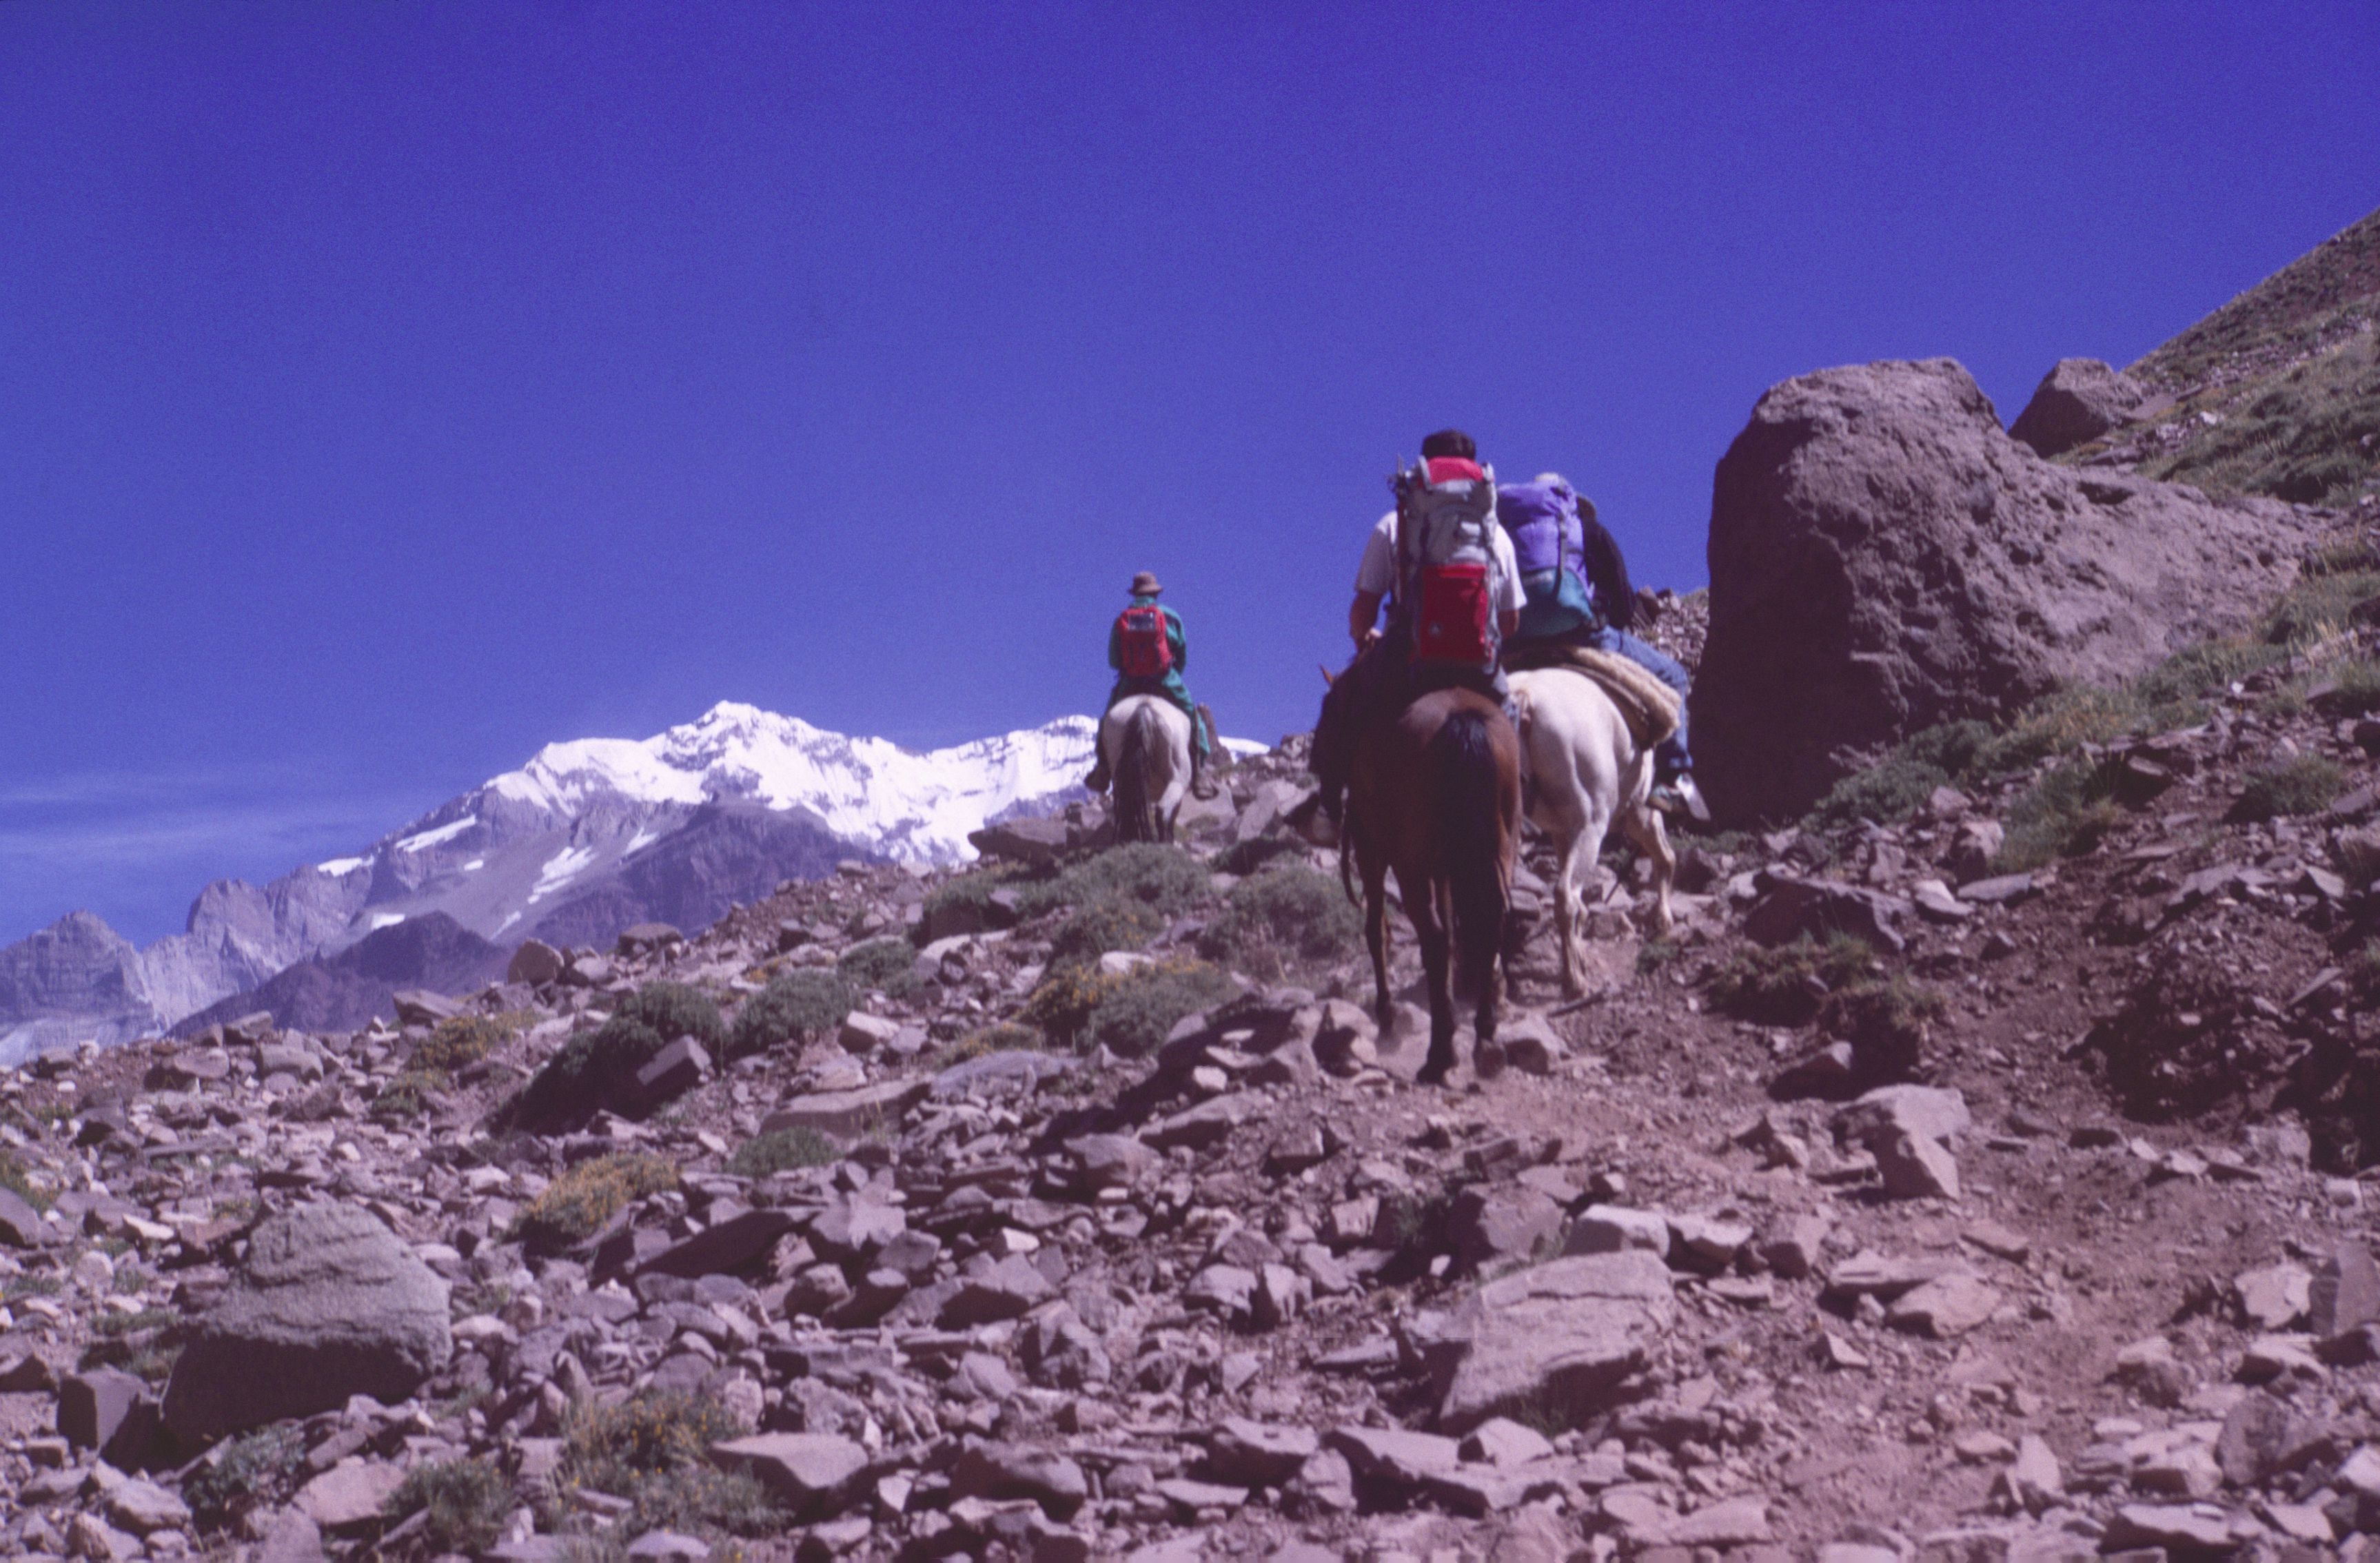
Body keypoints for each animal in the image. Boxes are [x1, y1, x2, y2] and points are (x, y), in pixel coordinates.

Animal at [1342, 690, 1523, 1080]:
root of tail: (1461, 716)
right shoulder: (1442, 872)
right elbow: (1454, 933)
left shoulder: (1370, 851)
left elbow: (1377, 932)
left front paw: (1387, 1023)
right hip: (1504, 844)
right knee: (1487, 926)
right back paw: (1486, 1041)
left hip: (1408, 863)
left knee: (1434, 938)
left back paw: (1440, 1055)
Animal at [1504, 666, 1675, 994]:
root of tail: (1525, 698)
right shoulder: (1635, 809)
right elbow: (1664, 856)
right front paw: (1663, 921)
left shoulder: (1561, 831)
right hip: (1593, 825)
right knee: (1565, 897)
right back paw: (1575, 982)